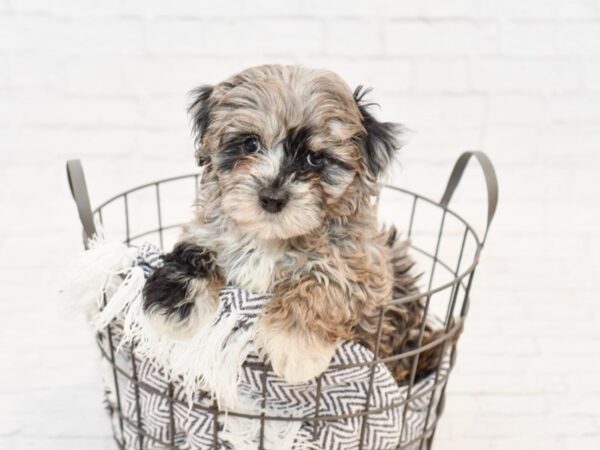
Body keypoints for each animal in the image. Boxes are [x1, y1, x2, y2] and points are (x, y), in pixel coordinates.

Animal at [143, 65, 446, 384]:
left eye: (315, 158)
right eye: (250, 143)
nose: (272, 198)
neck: (269, 238)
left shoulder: (360, 268)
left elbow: (323, 284)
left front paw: (293, 343)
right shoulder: (205, 231)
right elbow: (193, 253)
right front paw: (173, 305)